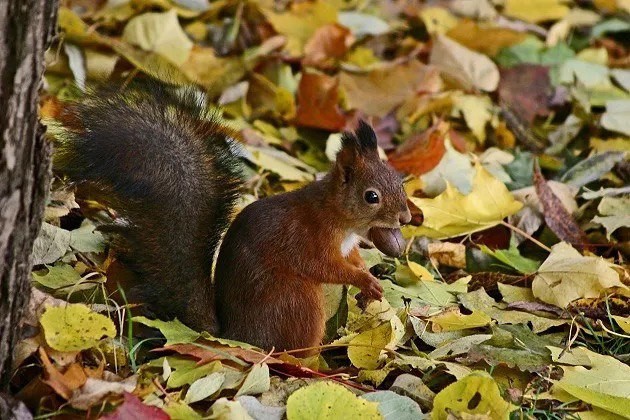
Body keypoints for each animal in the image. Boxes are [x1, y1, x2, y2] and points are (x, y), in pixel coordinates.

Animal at [55, 81, 414, 352]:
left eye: (399, 181)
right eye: (371, 196)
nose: (406, 218)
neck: (340, 218)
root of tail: (240, 337)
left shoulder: (348, 245)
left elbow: (353, 260)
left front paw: (369, 281)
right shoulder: (308, 237)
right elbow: (325, 267)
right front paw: (364, 280)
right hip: (295, 299)